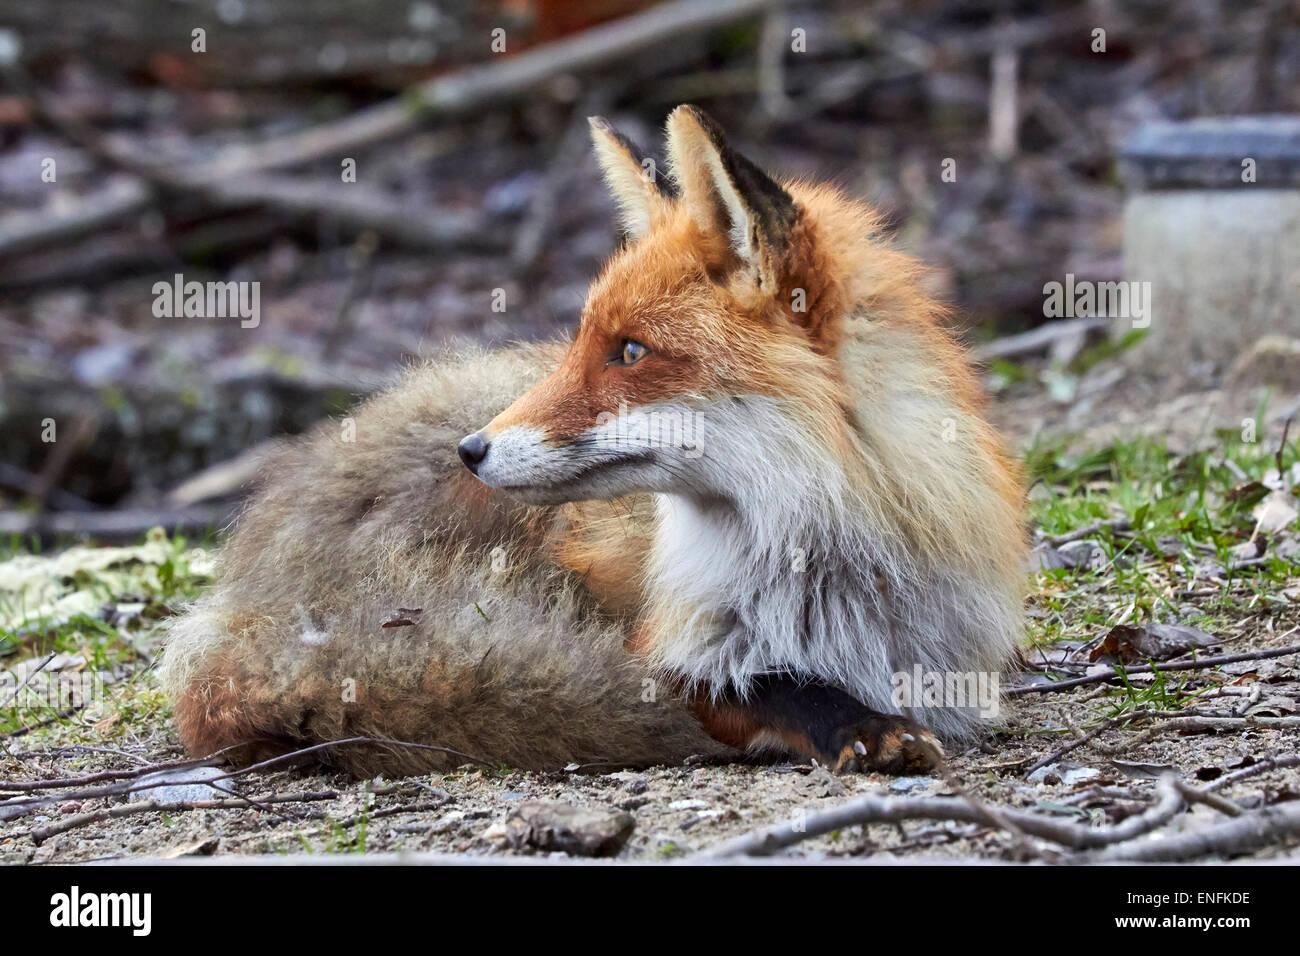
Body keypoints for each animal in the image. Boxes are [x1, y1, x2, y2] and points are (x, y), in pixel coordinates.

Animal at [159, 104, 1024, 780]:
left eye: (630, 352)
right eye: (582, 342)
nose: (472, 451)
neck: (817, 557)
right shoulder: (665, 654)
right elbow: (765, 684)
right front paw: (854, 723)